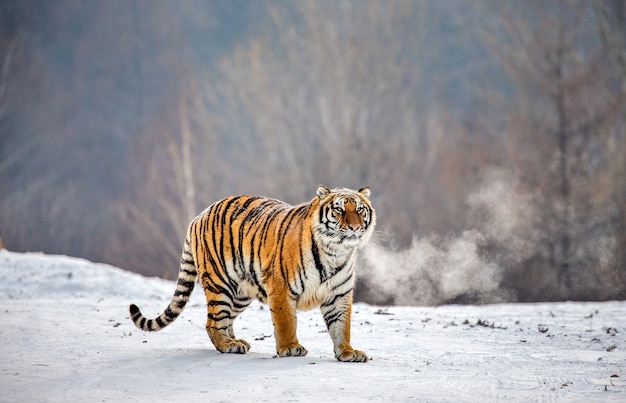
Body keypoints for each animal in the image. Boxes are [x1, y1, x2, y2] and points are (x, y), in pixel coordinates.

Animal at [130, 186, 376, 362]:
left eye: (359, 210)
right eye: (339, 210)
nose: (354, 228)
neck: (335, 252)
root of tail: (199, 216)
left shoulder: (339, 294)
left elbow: (341, 326)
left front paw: (347, 352)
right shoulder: (281, 287)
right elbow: (286, 322)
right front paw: (290, 348)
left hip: (240, 293)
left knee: (225, 319)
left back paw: (236, 341)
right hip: (221, 284)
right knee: (212, 322)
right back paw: (228, 345)